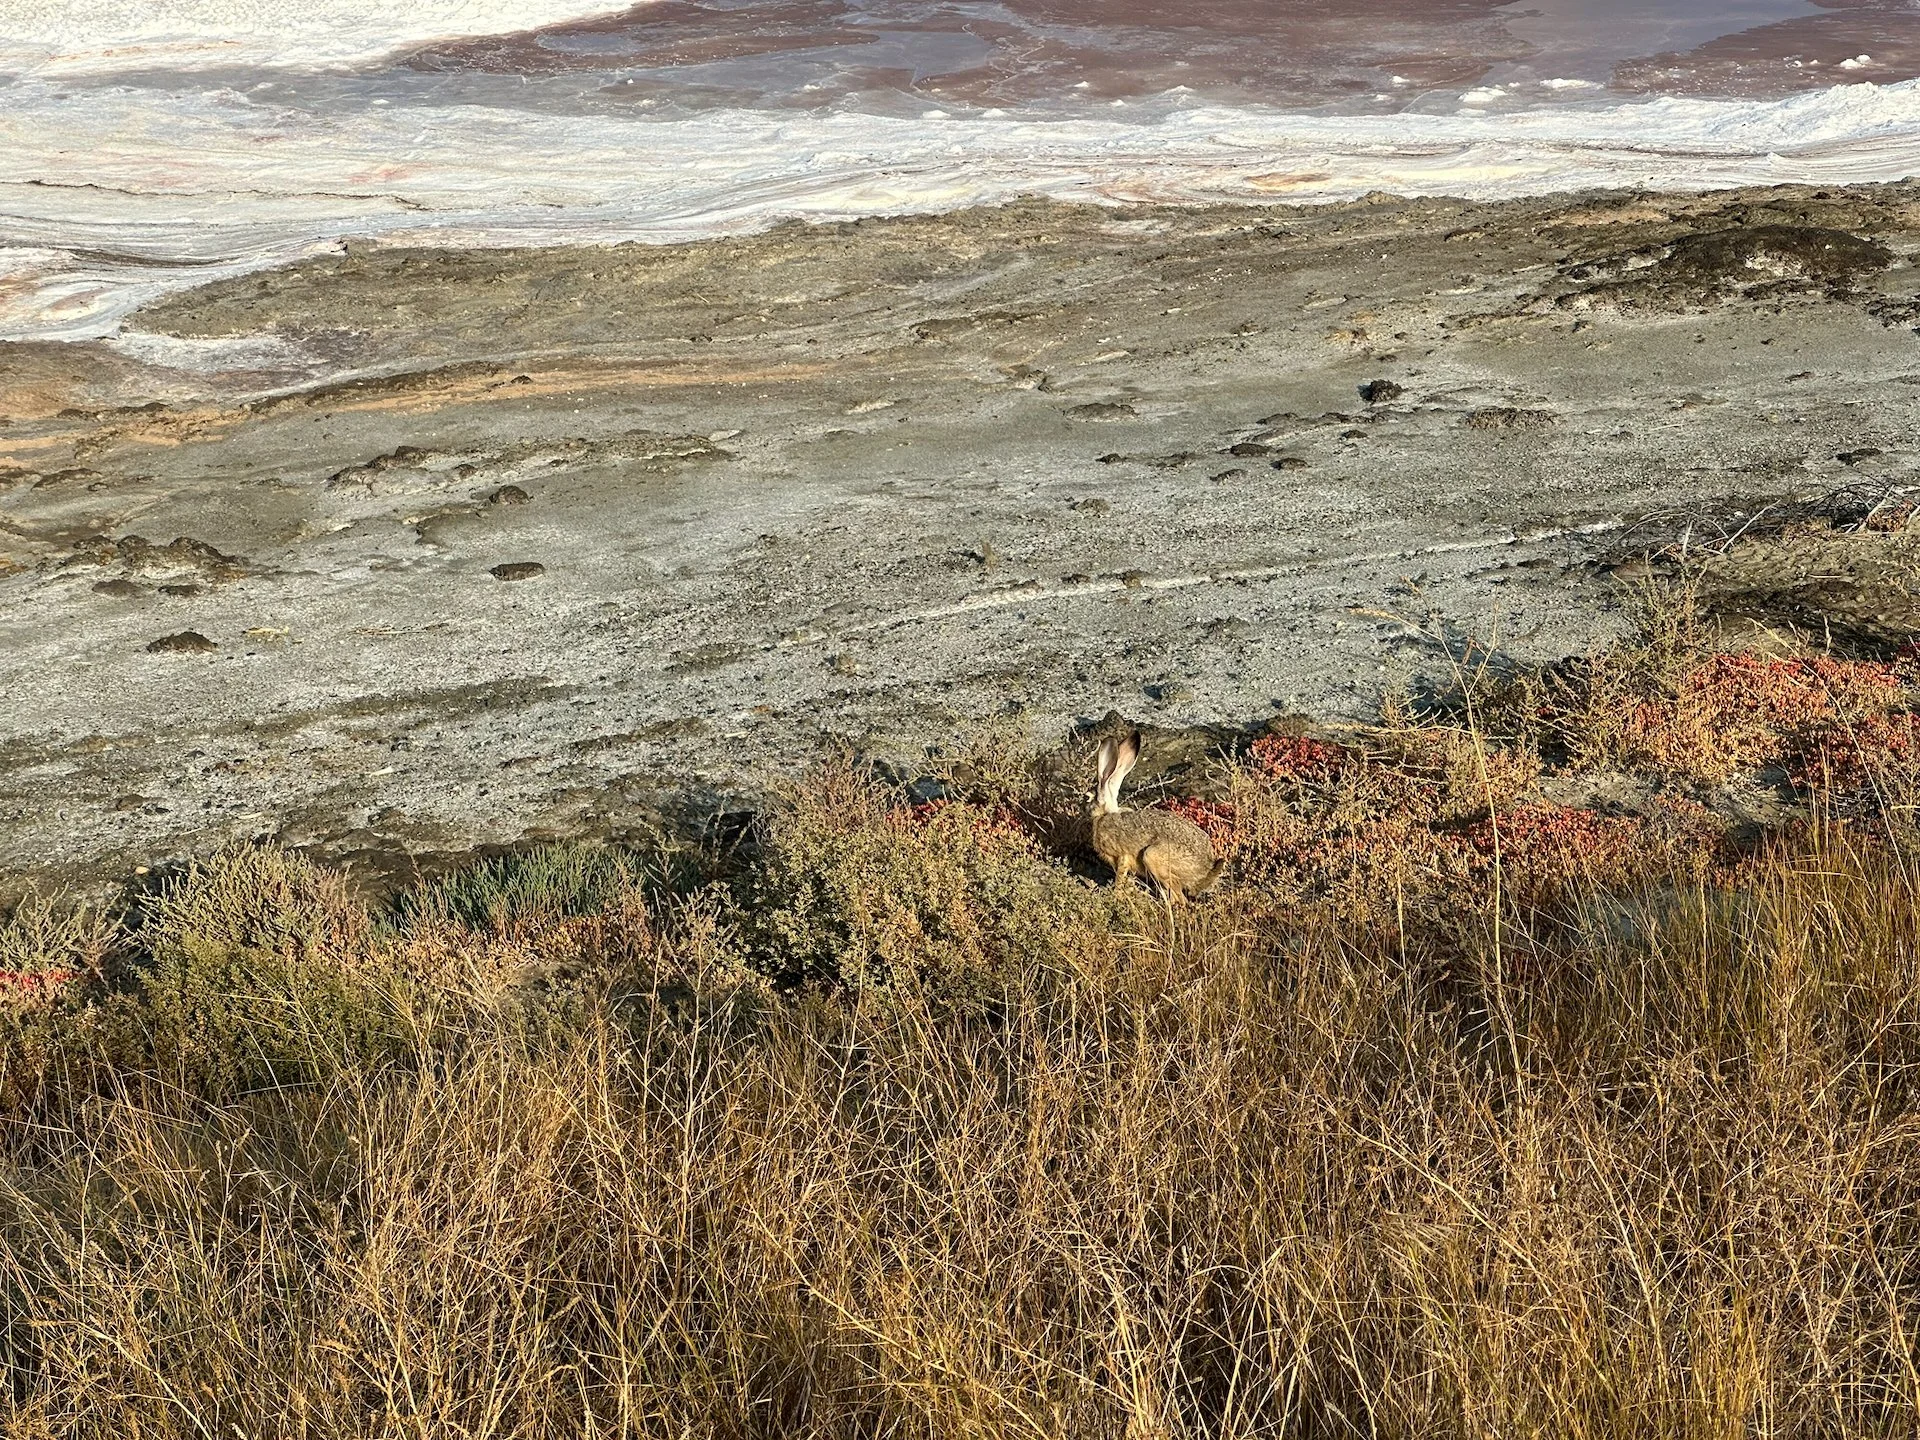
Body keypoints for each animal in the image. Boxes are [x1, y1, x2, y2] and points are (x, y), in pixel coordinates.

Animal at [1089, 730, 1223, 898]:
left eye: (1088, 797)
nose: (1088, 809)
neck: (1106, 813)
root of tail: (1206, 869)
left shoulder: (1122, 856)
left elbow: (1120, 874)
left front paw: (1116, 894)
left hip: (1152, 856)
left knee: (1179, 899)